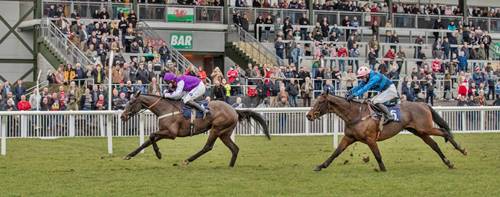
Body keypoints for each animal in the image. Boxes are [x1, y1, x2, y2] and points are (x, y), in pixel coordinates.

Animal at [120, 92, 270, 166]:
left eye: (131, 102)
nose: (122, 116)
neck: (165, 108)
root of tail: (234, 110)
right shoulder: (163, 131)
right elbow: (146, 142)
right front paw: (129, 155)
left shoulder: (171, 133)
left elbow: (151, 135)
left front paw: (158, 154)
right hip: (224, 133)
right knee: (235, 149)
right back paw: (230, 166)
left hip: (216, 129)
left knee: (208, 147)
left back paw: (187, 160)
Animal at [304, 94, 468, 172]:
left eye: (320, 102)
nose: (309, 115)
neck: (355, 114)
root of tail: (423, 103)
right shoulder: (349, 137)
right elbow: (335, 153)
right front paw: (321, 166)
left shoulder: (370, 139)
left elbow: (377, 155)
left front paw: (382, 169)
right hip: (420, 132)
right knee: (434, 145)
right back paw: (448, 162)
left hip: (425, 128)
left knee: (444, 132)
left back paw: (461, 149)